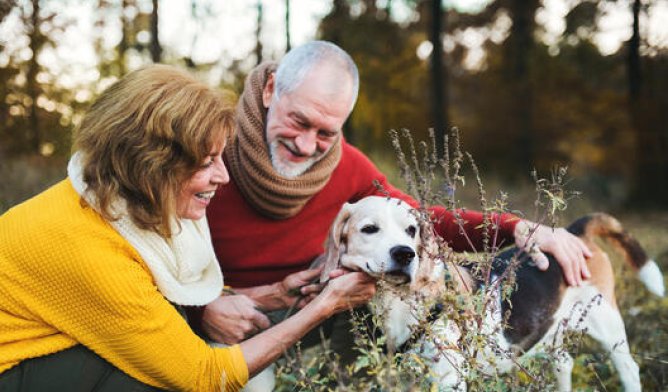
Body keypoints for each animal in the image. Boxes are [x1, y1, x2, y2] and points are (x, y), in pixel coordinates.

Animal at [320, 196, 664, 392]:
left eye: (411, 230)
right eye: (369, 229)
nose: (405, 254)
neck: (399, 299)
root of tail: (574, 232)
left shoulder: (449, 380)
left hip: (608, 326)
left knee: (629, 370)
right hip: (553, 333)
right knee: (565, 363)